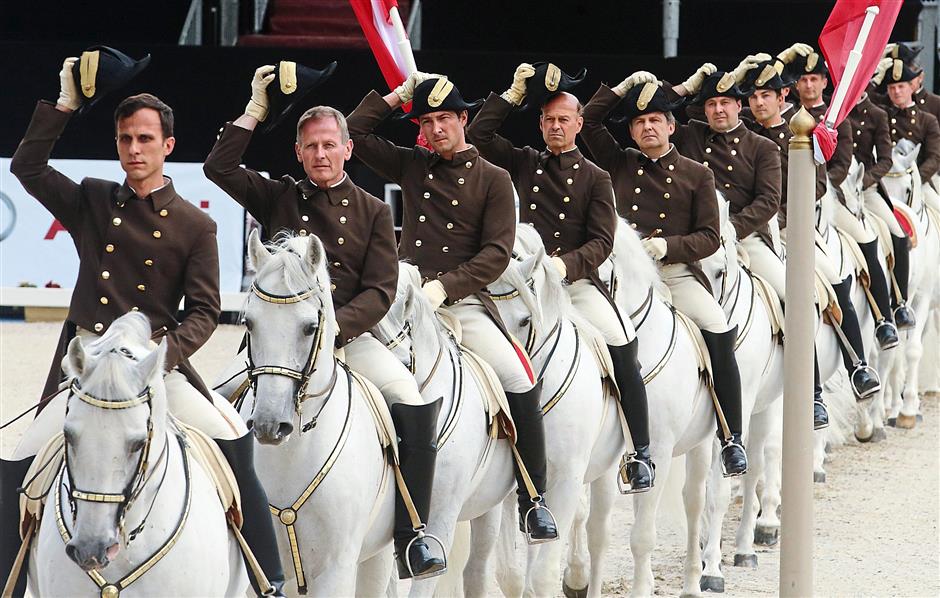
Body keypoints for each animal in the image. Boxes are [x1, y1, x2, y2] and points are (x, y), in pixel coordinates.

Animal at [228, 233, 396, 598]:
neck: (291, 456)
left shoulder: (337, 571)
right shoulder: (260, 574)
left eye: (309, 327)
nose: (269, 426)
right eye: (249, 323)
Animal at [484, 226, 624, 598]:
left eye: (524, 320)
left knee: (598, 535)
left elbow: (543, 574)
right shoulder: (513, 489)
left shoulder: (566, 478)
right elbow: (510, 574)